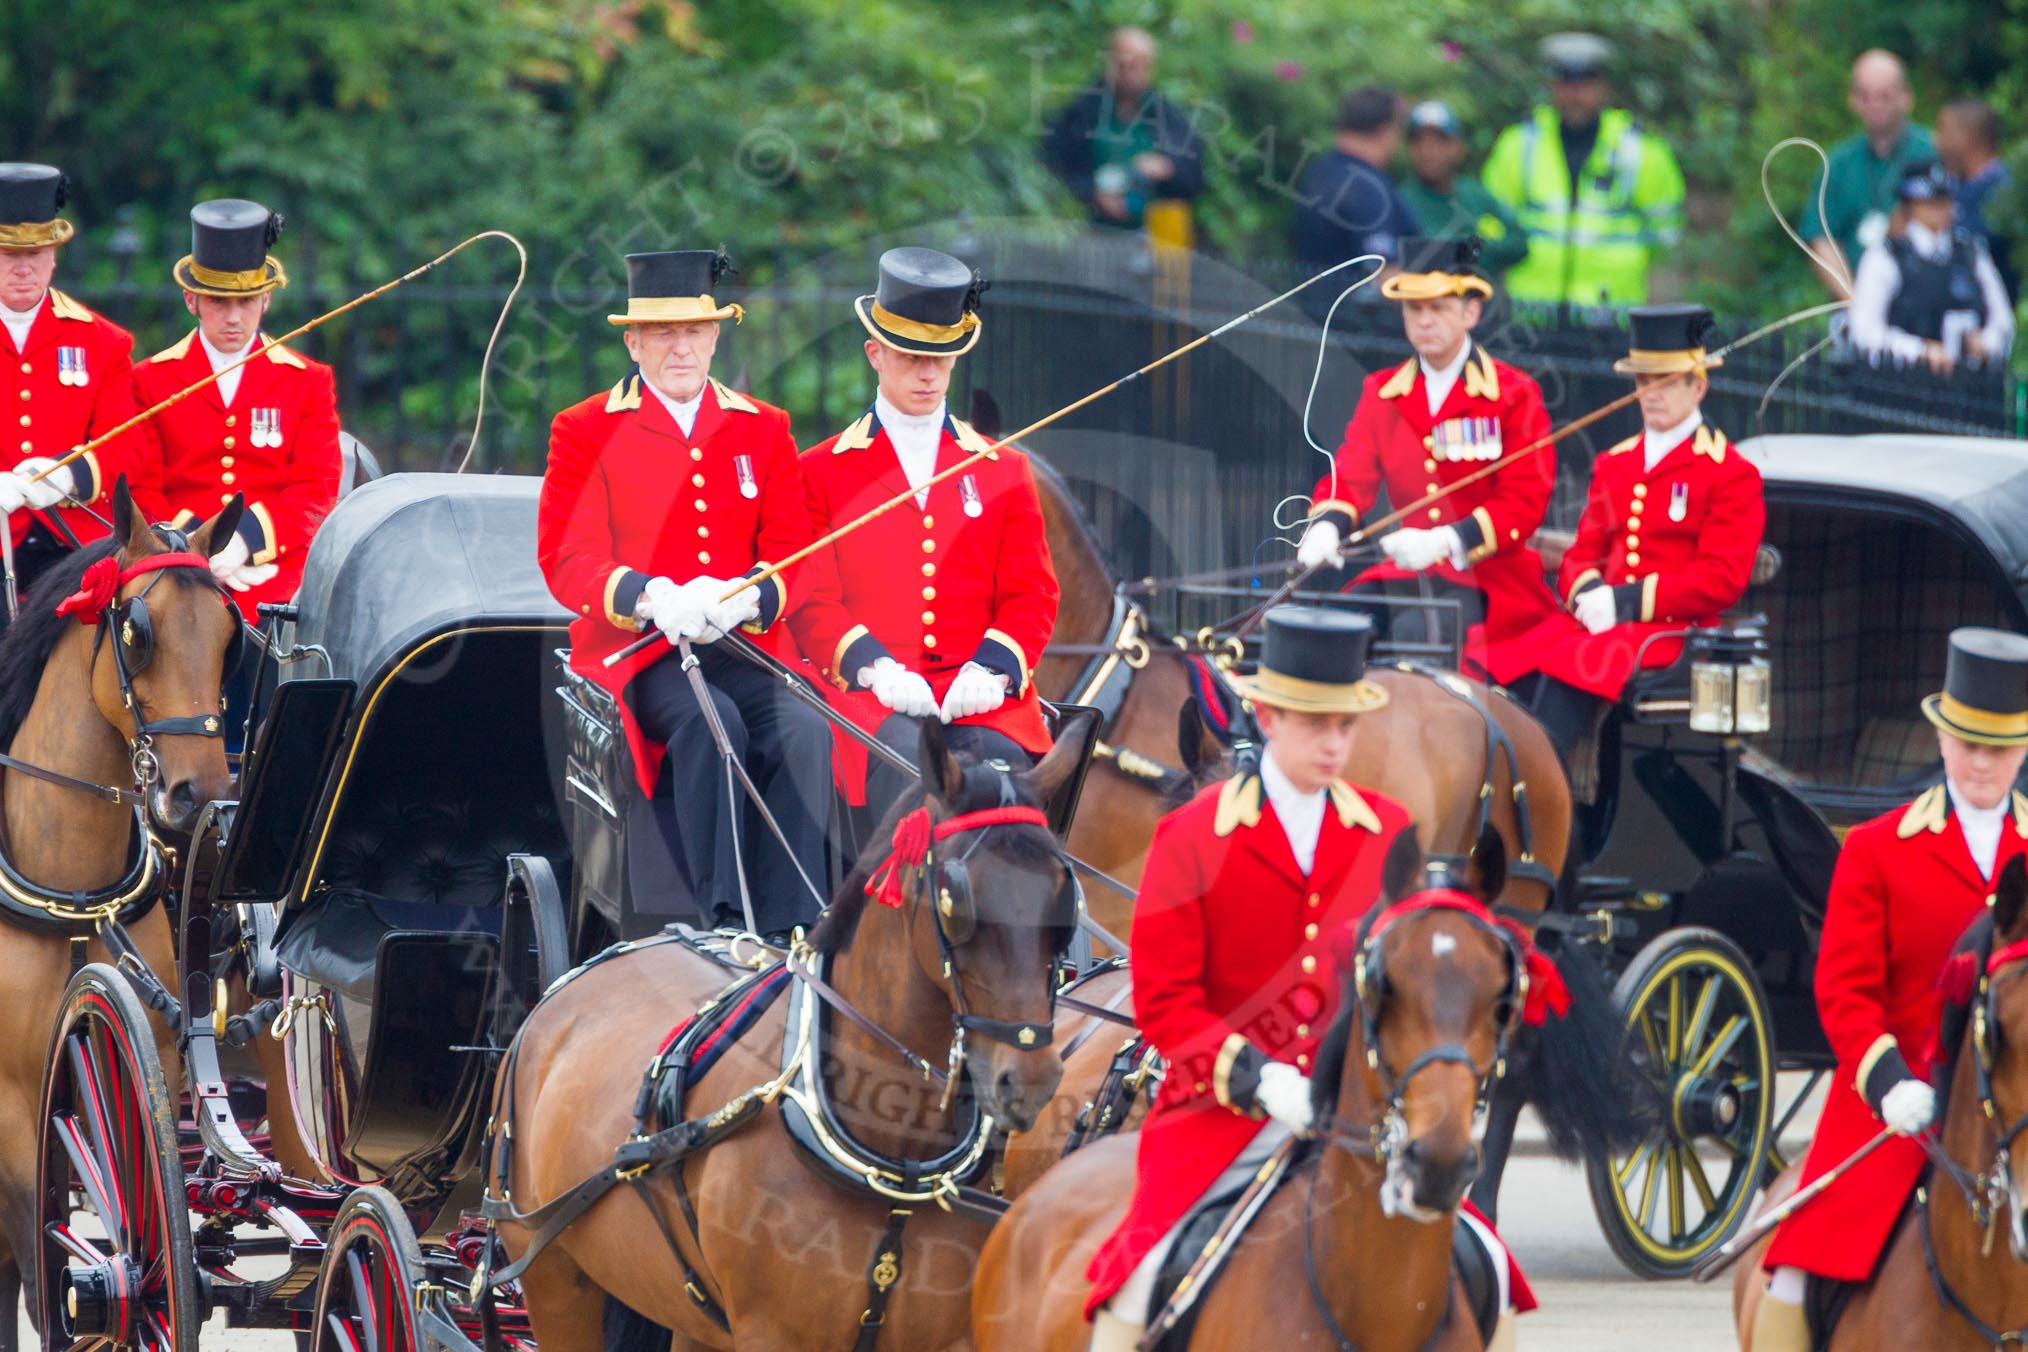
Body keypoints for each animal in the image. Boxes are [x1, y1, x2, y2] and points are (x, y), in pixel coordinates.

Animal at [0, 484, 243, 1345]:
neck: (70, 891)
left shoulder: (141, 1064)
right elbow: (44, 1276)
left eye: (231, 636)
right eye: (137, 633)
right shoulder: (12, 1106)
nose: (199, 797)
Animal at [488, 725, 1087, 1345]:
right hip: (553, 1276)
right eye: (955, 900)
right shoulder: (769, 1333)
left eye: (1063, 900)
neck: (895, 1161)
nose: (1031, 1078)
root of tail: (567, 984)